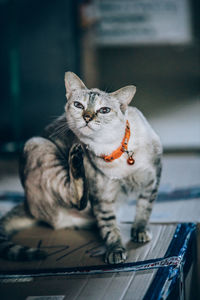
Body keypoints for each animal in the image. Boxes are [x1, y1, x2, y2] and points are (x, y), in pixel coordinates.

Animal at [0, 72, 162, 264]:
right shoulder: (102, 197)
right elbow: (109, 227)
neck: (114, 152)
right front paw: (115, 250)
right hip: (38, 145)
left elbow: (145, 208)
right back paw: (76, 156)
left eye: (104, 110)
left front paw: (140, 231)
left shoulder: (152, 180)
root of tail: (26, 203)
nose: (87, 117)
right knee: (77, 198)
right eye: (79, 105)